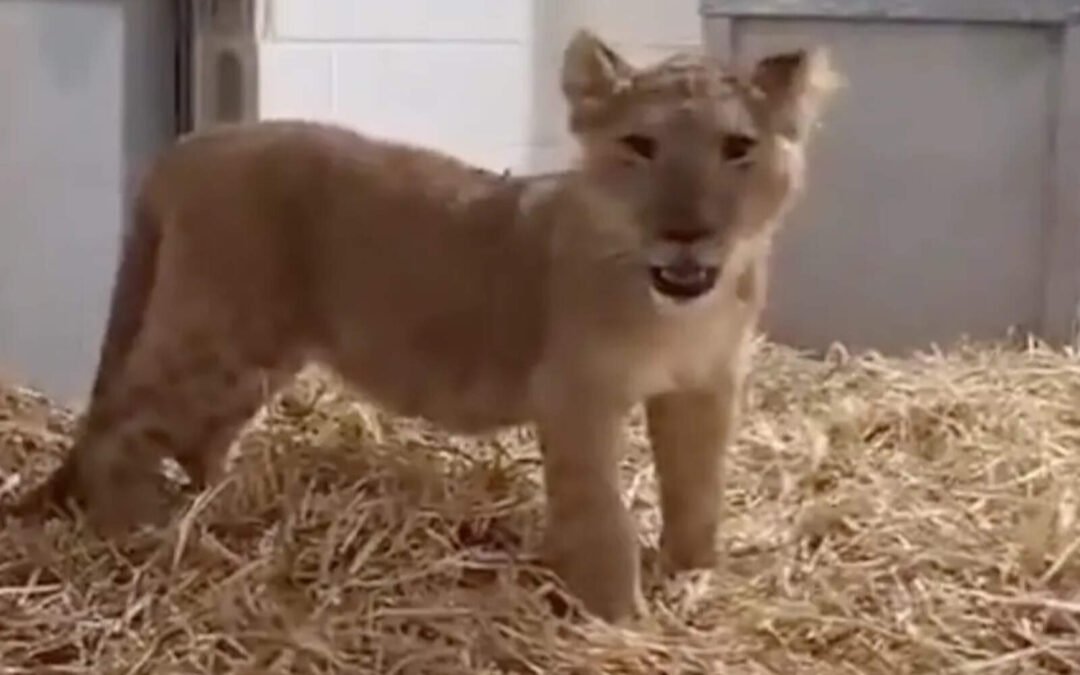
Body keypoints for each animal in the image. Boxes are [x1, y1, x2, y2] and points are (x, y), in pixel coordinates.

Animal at [20, 29, 839, 623]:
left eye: (738, 148)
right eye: (640, 146)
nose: (687, 233)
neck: (677, 309)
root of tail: (190, 145)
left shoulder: (705, 388)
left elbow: (699, 490)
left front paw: (696, 577)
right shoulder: (576, 394)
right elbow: (603, 513)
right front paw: (621, 619)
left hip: (256, 350)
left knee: (195, 433)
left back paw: (218, 511)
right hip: (219, 331)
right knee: (121, 427)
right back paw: (143, 538)